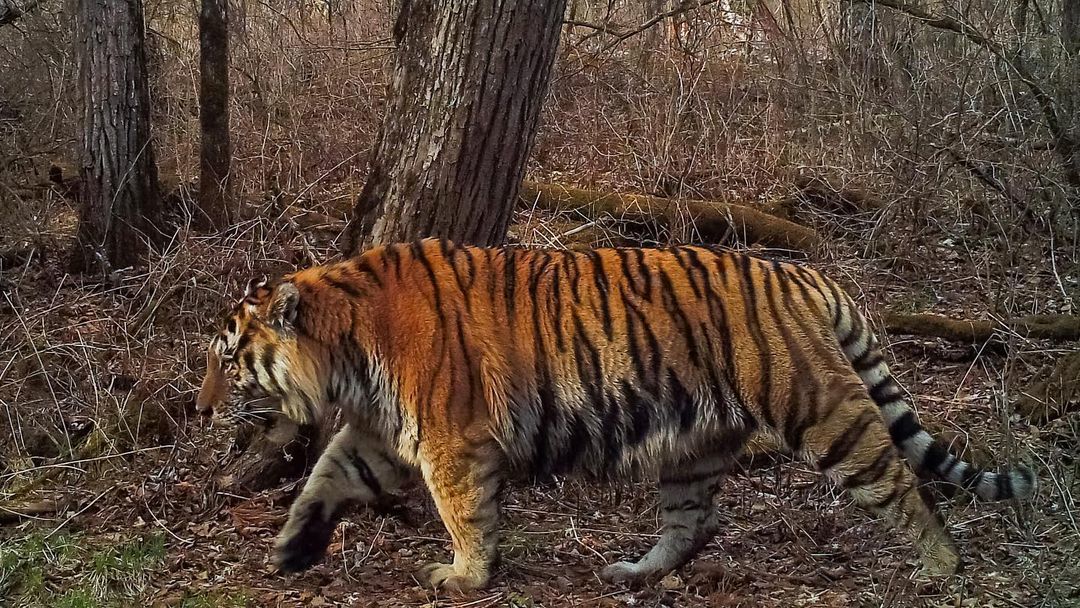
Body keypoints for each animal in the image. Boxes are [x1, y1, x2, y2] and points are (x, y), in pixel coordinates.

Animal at [196, 240, 1036, 591]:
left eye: (227, 360)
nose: (199, 410)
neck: (344, 347)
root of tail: (805, 274)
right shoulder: (380, 431)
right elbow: (324, 480)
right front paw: (289, 549)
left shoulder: (449, 439)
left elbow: (465, 513)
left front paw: (465, 576)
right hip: (693, 447)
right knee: (696, 520)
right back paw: (637, 572)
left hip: (822, 409)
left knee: (900, 484)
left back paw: (940, 567)